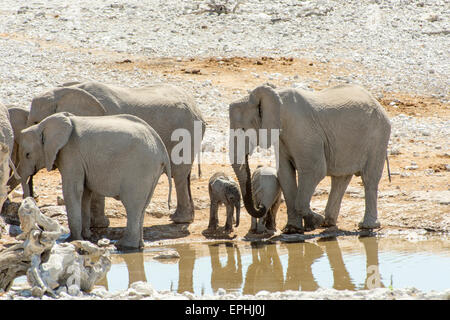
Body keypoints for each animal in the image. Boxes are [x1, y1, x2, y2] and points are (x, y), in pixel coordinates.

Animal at [18, 112, 171, 250]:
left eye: (27, 154)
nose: (39, 229)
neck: (42, 126)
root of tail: (162, 149)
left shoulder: (70, 153)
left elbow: (73, 190)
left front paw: (71, 240)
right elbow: (85, 192)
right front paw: (86, 236)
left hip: (139, 169)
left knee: (132, 204)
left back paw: (124, 246)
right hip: (151, 171)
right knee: (143, 206)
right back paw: (139, 246)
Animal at [26, 81, 206, 224]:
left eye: (36, 123)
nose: (34, 198)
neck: (66, 90)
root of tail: (198, 111)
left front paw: (98, 225)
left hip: (185, 132)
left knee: (180, 176)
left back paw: (179, 220)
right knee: (185, 176)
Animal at [229, 83, 390, 232]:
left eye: (243, 129)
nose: (261, 207)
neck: (276, 97)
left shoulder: (303, 131)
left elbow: (314, 171)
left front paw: (316, 221)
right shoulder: (281, 138)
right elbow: (285, 173)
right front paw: (292, 229)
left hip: (378, 135)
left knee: (369, 178)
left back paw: (367, 226)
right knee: (340, 179)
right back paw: (328, 222)